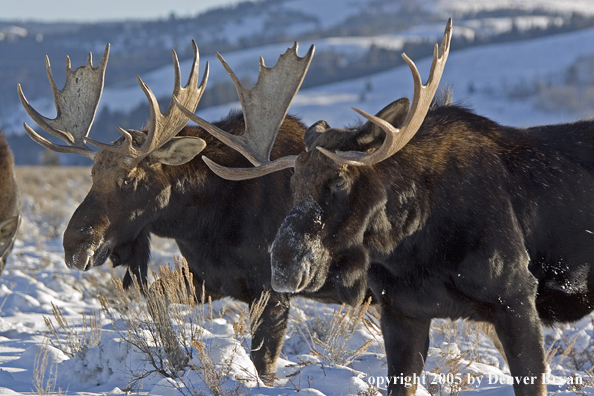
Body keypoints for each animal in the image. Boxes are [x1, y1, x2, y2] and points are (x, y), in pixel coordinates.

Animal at [16, 40, 370, 380]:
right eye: (92, 174)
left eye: (128, 179)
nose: (74, 246)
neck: (207, 222)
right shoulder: (209, 278)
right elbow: (155, 296)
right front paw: (177, 359)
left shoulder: (272, 290)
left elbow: (264, 364)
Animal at [187, 20, 592, 396]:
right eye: (293, 182)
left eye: (340, 181)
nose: (284, 265)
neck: (414, 245)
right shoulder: (400, 311)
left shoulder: (517, 299)